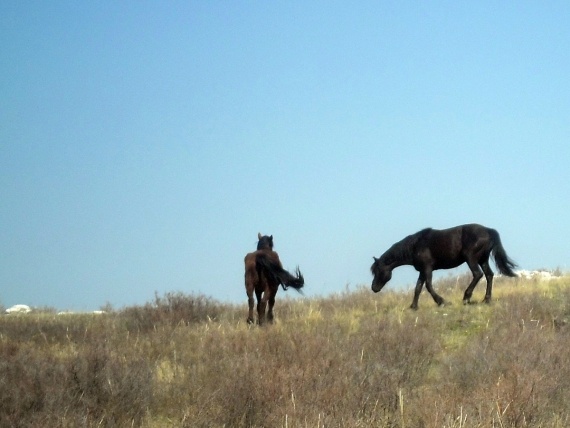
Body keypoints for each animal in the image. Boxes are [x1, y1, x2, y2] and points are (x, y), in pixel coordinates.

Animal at [368, 222, 516, 310]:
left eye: (378, 271)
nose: (374, 288)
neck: (416, 246)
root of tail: (489, 231)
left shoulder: (427, 268)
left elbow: (428, 286)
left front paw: (442, 301)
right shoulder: (422, 271)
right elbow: (418, 288)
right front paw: (413, 306)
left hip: (471, 259)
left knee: (477, 274)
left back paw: (466, 297)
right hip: (483, 260)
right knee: (489, 275)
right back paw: (486, 299)